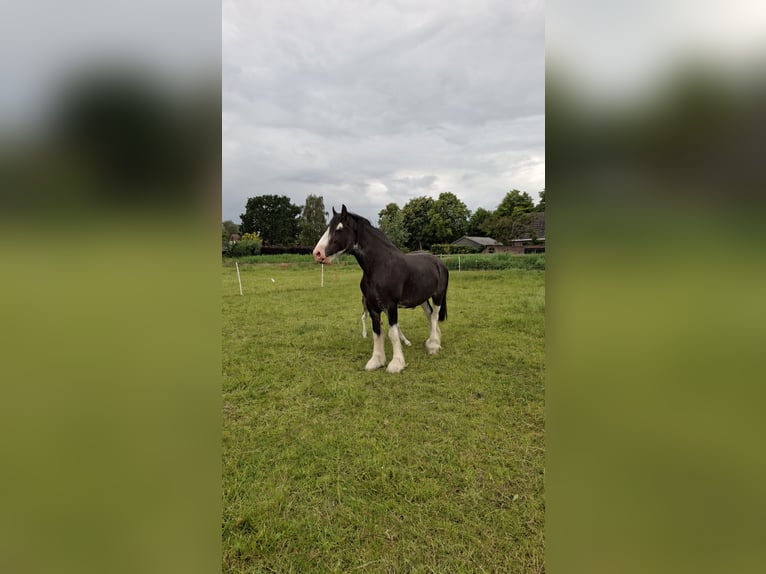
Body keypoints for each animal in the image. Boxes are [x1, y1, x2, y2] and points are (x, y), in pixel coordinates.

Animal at [313, 205, 448, 373]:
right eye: (328, 227)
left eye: (339, 228)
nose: (317, 253)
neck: (380, 266)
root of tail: (439, 263)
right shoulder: (372, 307)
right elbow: (377, 333)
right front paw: (376, 361)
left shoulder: (390, 306)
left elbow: (392, 333)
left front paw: (396, 364)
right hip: (423, 299)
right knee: (429, 316)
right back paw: (433, 342)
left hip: (438, 296)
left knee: (435, 317)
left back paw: (434, 345)